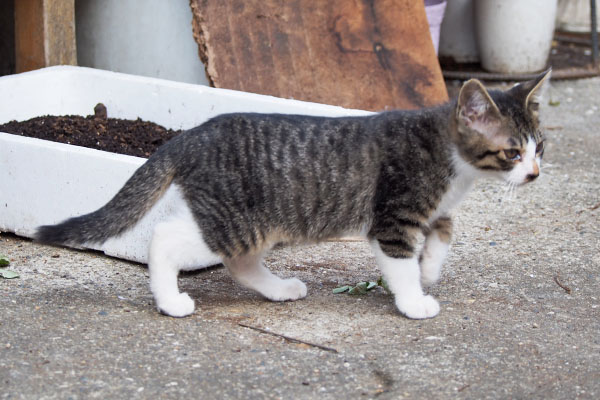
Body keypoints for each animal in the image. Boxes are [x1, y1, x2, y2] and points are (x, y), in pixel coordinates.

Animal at [37, 69, 552, 318]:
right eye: (512, 152)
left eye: (540, 146)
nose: (534, 174)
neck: (450, 159)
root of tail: (192, 135)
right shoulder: (393, 219)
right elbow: (400, 264)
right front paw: (414, 300)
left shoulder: (432, 209)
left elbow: (444, 233)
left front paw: (430, 268)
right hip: (235, 220)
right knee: (166, 239)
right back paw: (171, 301)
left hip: (261, 223)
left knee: (240, 264)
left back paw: (280, 289)